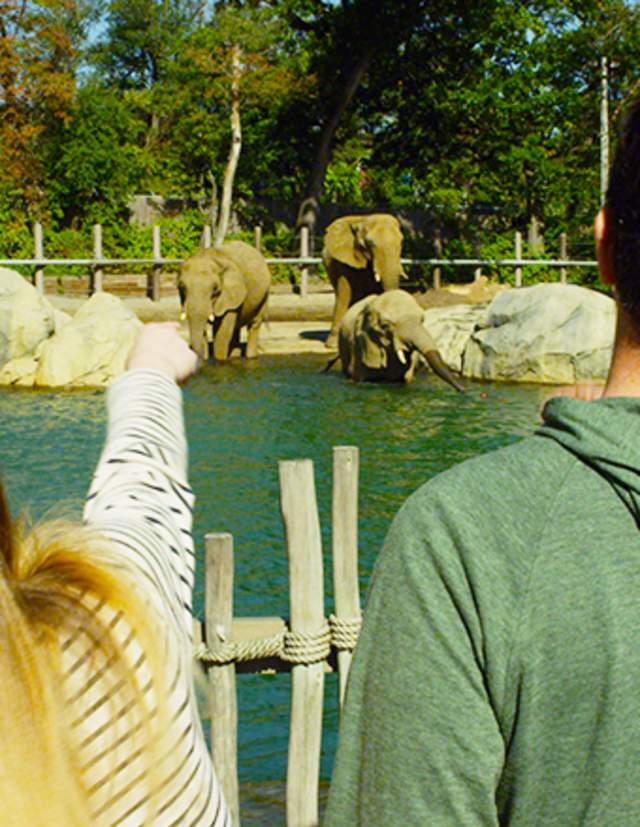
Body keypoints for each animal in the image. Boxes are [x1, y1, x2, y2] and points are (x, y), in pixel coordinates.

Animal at [320, 213, 404, 350]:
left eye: (401, 241)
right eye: (370, 243)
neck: (363, 220)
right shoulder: (343, 260)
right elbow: (345, 294)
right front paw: (333, 345)